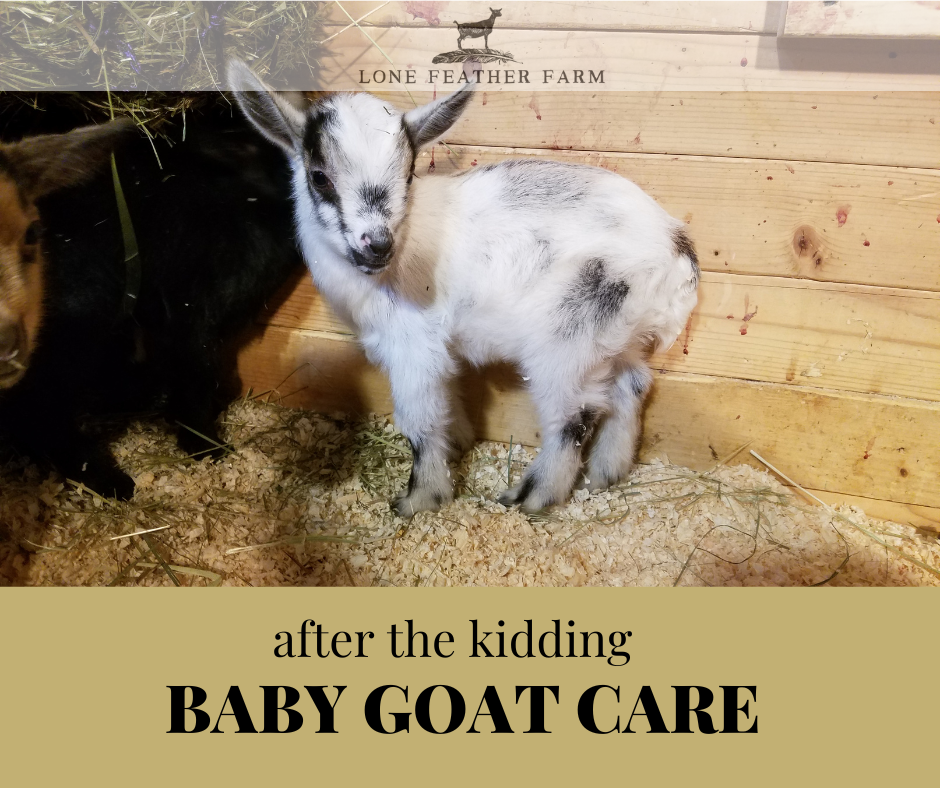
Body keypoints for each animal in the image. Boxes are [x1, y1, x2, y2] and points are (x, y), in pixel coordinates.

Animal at [229, 60, 699, 516]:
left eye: (409, 173)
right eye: (319, 177)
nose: (377, 244)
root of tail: (676, 250)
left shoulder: (413, 346)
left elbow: (420, 422)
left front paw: (421, 499)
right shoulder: (437, 348)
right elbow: (447, 401)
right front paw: (458, 444)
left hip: (569, 339)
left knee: (574, 417)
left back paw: (534, 496)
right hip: (616, 337)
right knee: (631, 385)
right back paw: (606, 472)